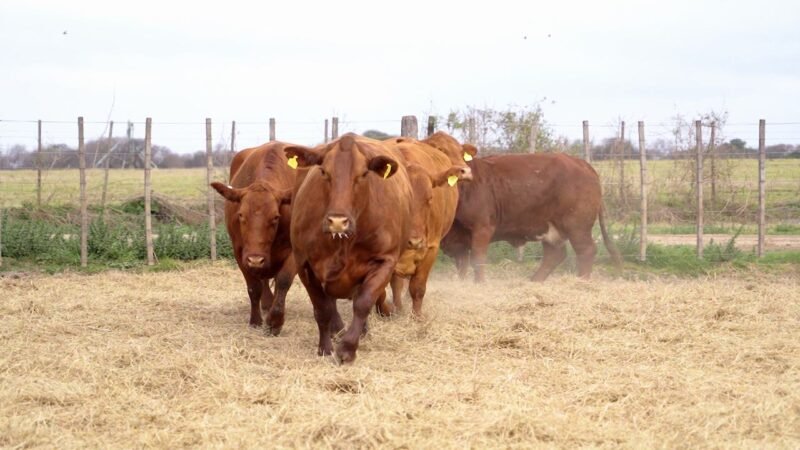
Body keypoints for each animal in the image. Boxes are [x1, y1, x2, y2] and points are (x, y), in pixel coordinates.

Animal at [210, 142, 296, 335]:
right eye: (241, 215)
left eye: (276, 217)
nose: (256, 259)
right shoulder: (240, 253)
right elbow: (253, 287)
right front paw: (255, 320)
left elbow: (283, 281)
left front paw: (275, 321)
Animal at [285, 133, 412, 363]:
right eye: (324, 172)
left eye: (363, 174)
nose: (337, 222)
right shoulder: (305, 265)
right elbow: (322, 308)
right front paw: (325, 347)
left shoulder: (385, 262)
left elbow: (363, 303)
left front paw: (348, 348)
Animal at [377, 137, 472, 317]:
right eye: (399, 199)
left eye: (430, 199)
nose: (414, 241)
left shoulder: (431, 248)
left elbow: (418, 287)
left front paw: (417, 316)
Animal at [441, 152, 621, 283]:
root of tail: (580, 162)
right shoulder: (459, 241)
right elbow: (462, 264)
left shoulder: (482, 228)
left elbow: (477, 260)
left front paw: (478, 283)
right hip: (550, 228)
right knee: (554, 255)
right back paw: (535, 281)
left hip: (577, 227)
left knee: (586, 251)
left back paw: (581, 281)